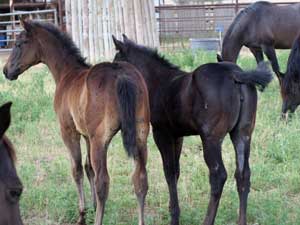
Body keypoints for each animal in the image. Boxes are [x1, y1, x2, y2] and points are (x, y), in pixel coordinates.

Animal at [2, 19, 150, 225]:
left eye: (18, 44)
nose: (6, 71)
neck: (67, 74)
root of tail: (121, 74)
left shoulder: (69, 131)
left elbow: (77, 169)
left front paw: (82, 214)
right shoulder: (86, 135)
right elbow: (89, 169)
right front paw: (94, 207)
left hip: (100, 141)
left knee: (103, 183)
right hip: (140, 135)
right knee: (140, 180)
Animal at [113, 35, 274, 225]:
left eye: (115, 63)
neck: (158, 82)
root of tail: (236, 74)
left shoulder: (162, 133)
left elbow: (169, 171)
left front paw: (174, 216)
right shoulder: (177, 136)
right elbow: (176, 171)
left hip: (211, 138)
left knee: (218, 176)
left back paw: (207, 220)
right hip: (242, 134)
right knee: (243, 174)